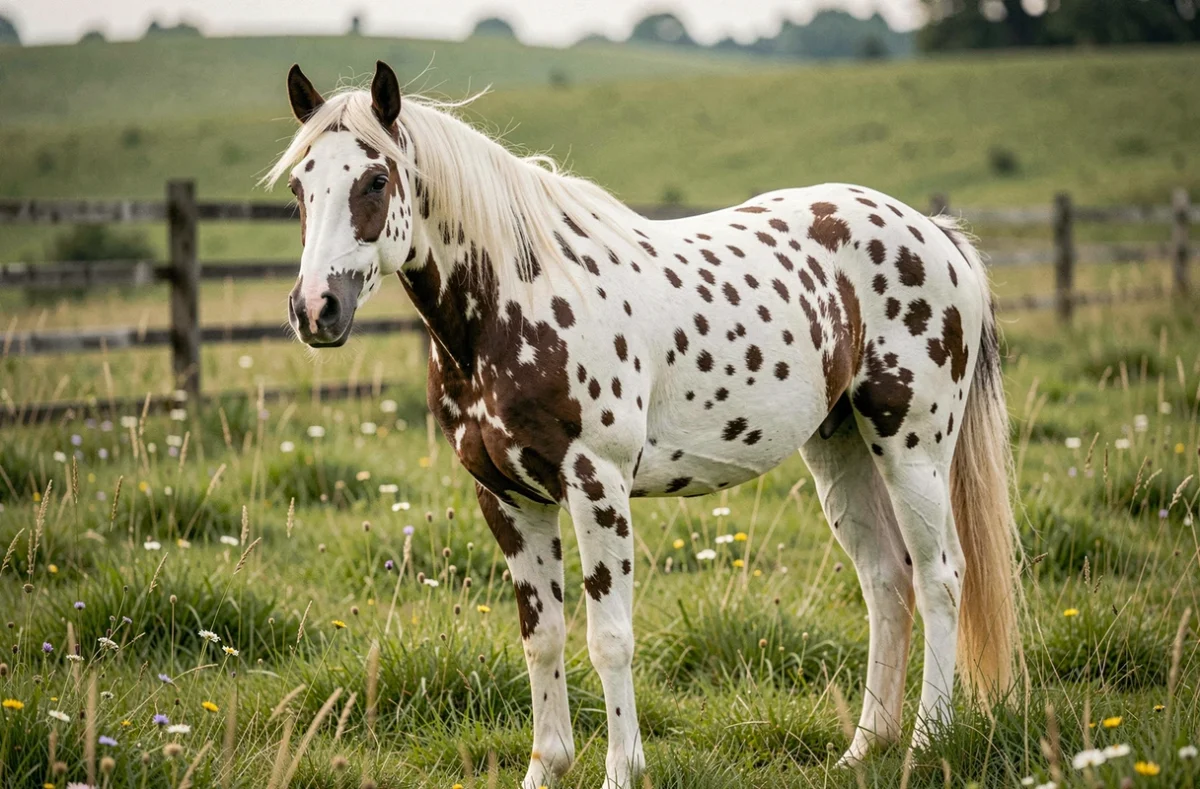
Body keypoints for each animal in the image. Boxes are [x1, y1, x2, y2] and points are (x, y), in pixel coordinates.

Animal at [265, 61, 1020, 789]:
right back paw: (863, 749)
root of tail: (934, 233)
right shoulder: (506, 497)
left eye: (375, 178)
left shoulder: (596, 486)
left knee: (940, 578)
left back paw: (926, 744)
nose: (315, 309)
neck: (516, 305)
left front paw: (622, 771)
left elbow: (609, 639)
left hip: (912, 447)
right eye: (301, 186)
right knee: (886, 580)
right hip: (841, 449)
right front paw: (546, 768)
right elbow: (541, 637)